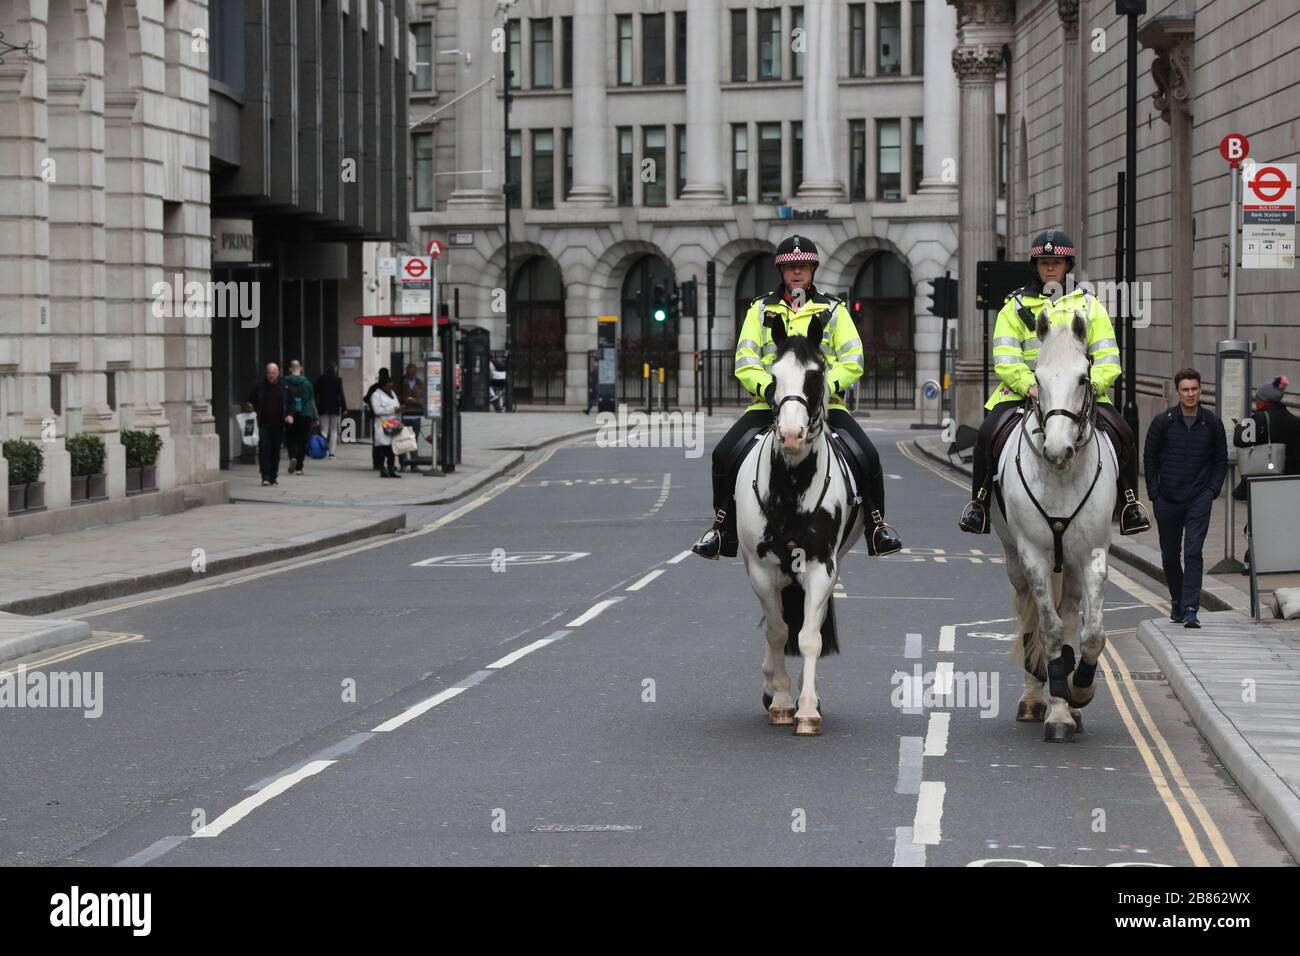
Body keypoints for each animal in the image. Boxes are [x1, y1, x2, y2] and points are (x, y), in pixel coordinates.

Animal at [733, 317, 863, 738]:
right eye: (773, 376)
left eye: (816, 374)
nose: (791, 435)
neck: (791, 486)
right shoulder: (761, 569)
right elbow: (777, 631)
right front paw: (780, 700)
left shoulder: (822, 566)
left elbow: (808, 637)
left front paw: (807, 709)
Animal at [987, 310, 1112, 743]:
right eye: (1037, 379)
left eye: (1083, 377)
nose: (1058, 450)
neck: (1061, 477)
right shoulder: (1034, 557)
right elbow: (1050, 631)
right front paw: (1057, 710)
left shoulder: (1092, 556)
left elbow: (1091, 634)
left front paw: (1078, 691)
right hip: (1014, 561)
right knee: (1031, 619)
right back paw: (1035, 699)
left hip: (1070, 566)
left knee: (1072, 611)